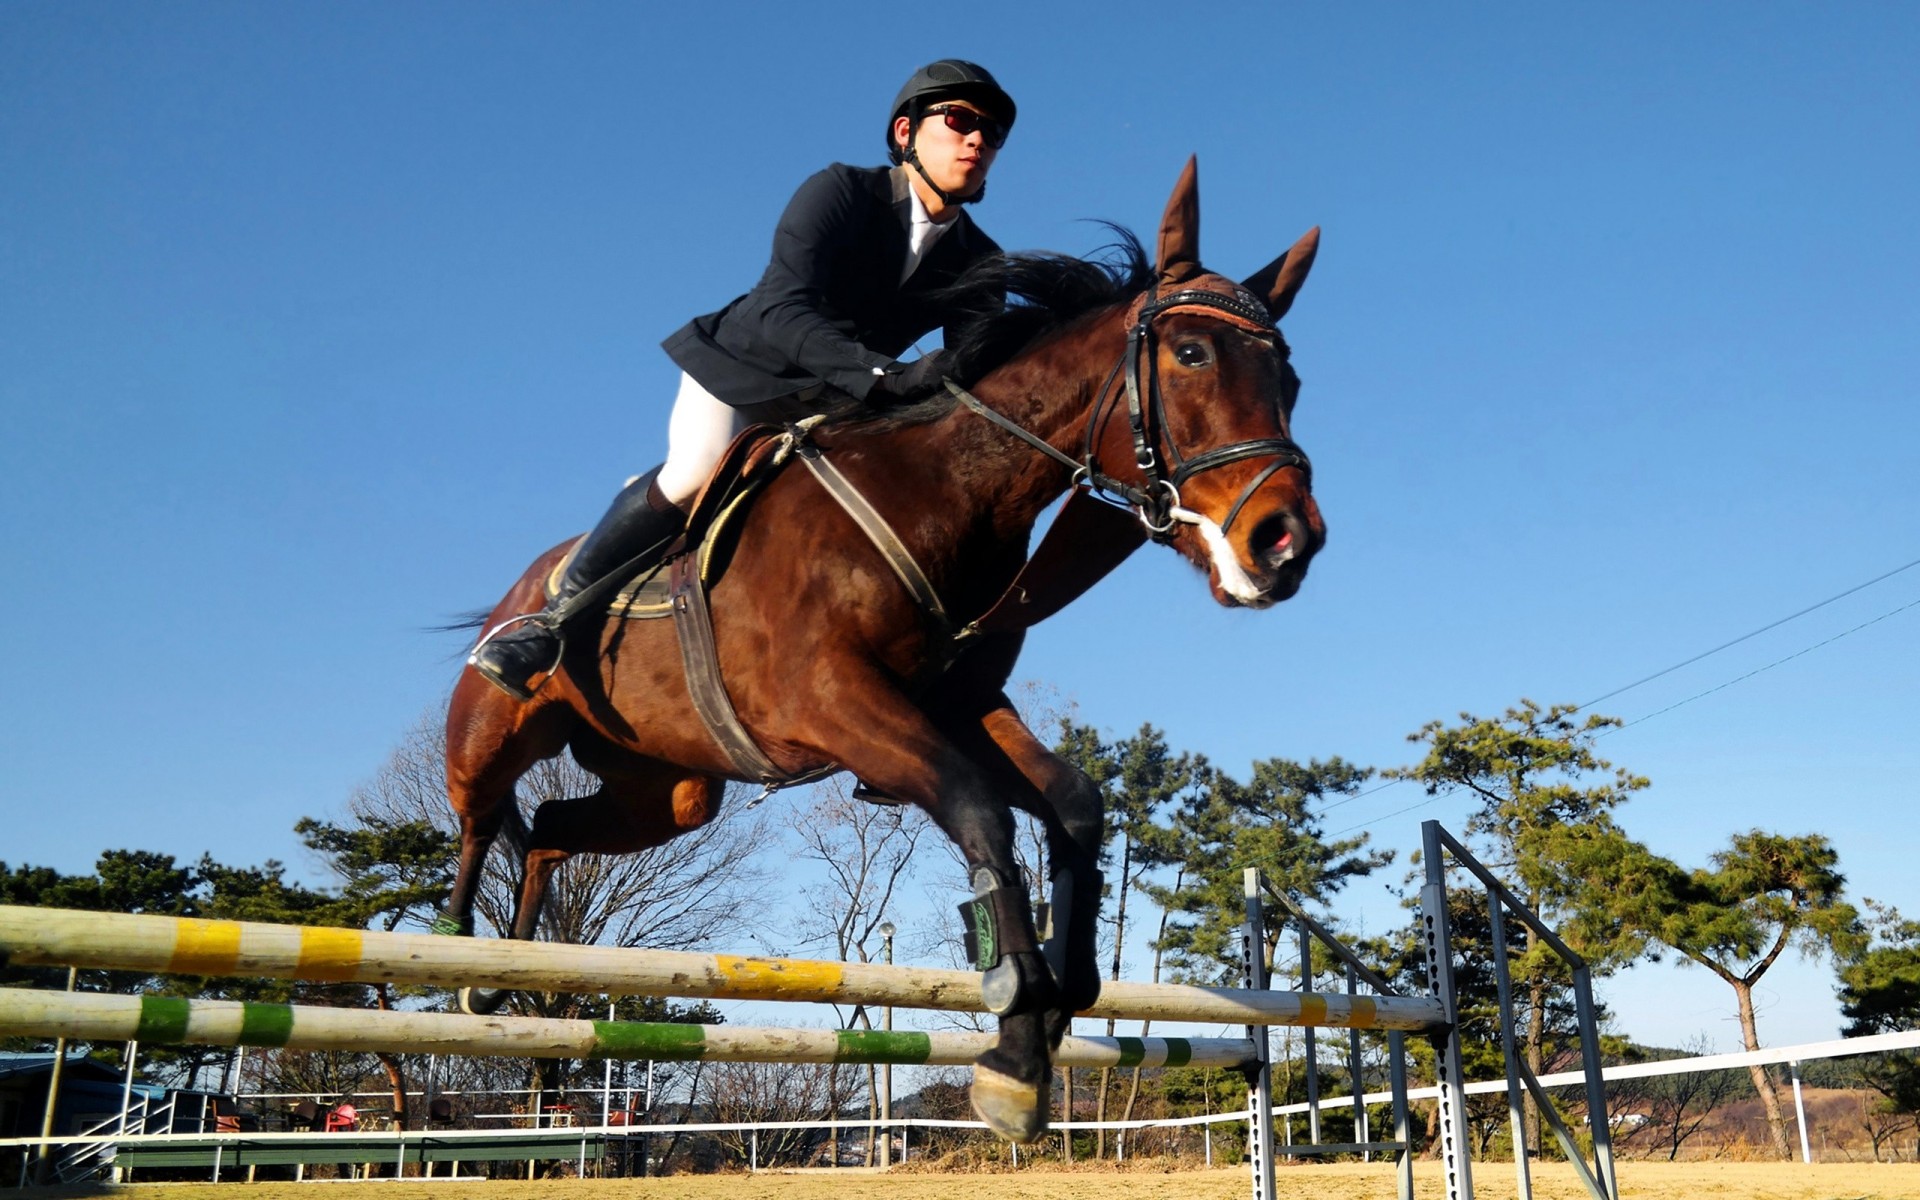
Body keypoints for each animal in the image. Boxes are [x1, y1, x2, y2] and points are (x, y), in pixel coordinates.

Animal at [441, 159, 1328, 1144]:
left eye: (1288, 375)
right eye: (1193, 355)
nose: (1286, 544)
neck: (951, 489)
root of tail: (524, 582)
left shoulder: (958, 705)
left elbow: (1073, 804)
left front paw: (1057, 1006)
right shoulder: (833, 702)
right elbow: (981, 809)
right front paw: (1017, 1032)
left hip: (667, 795)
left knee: (555, 830)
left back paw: (502, 978)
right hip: (493, 733)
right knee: (482, 816)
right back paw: (458, 953)